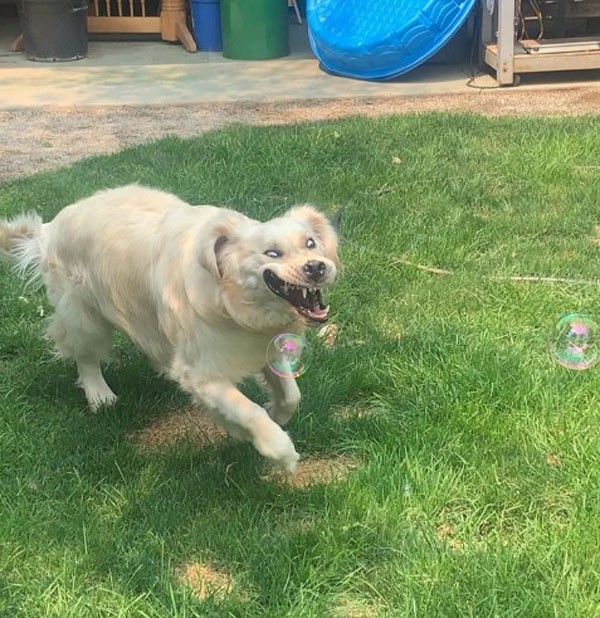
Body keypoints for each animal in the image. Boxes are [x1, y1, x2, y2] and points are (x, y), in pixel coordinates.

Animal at [0, 185, 339, 472]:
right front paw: (280, 450)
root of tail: (50, 227)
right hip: (83, 315)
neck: (230, 300)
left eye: (311, 243)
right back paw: (100, 395)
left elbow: (291, 394)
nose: (316, 267)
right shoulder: (205, 374)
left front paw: (275, 413)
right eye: (272, 253)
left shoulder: (266, 346)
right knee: (86, 357)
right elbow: (248, 409)